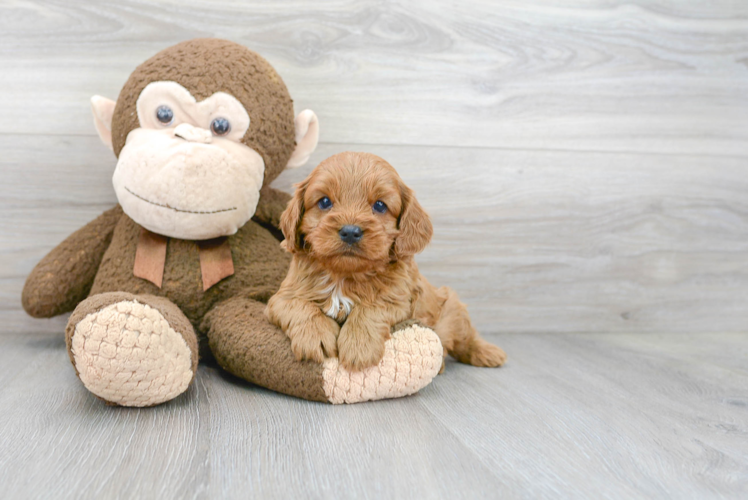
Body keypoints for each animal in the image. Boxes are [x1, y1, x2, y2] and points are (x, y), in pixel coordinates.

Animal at [266, 151, 506, 372]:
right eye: (324, 202)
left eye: (380, 206)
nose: (350, 231)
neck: (344, 275)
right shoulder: (281, 297)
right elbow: (298, 305)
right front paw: (315, 335)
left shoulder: (399, 301)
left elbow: (371, 309)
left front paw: (358, 348)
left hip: (452, 308)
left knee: (466, 338)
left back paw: (489, 353)